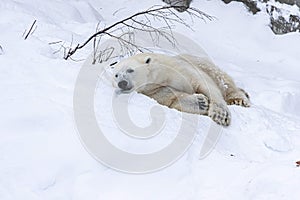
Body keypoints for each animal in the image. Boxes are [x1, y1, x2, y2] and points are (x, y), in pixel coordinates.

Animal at [111, 52, 250, 126]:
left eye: (130, 70)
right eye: (116, 75)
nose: (122, 83)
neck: (163, 75)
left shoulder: (182, 69)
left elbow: (205, 85)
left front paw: (221, 115)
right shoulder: (153, 90)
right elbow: (169, 97)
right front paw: (201, 103)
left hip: (202, 64)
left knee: (223, 80)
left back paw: (239, 99)